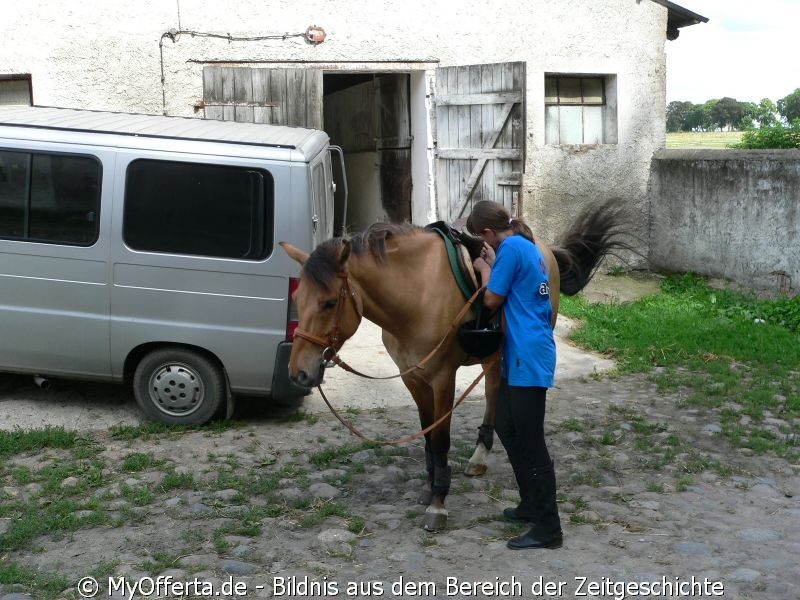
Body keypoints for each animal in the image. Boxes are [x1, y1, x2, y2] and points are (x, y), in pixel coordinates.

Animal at [280, 199, 632, 532]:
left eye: (328, 303)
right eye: (297, 300)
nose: (298, 373)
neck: (416, 295)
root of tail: (543, 245)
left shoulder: (442, 379)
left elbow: (440, 439)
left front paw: (438, 503)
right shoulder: (413, 378)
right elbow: (426, 434)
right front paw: (429, 485)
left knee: (495, 392)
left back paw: (481, 454)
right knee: (493, 391)